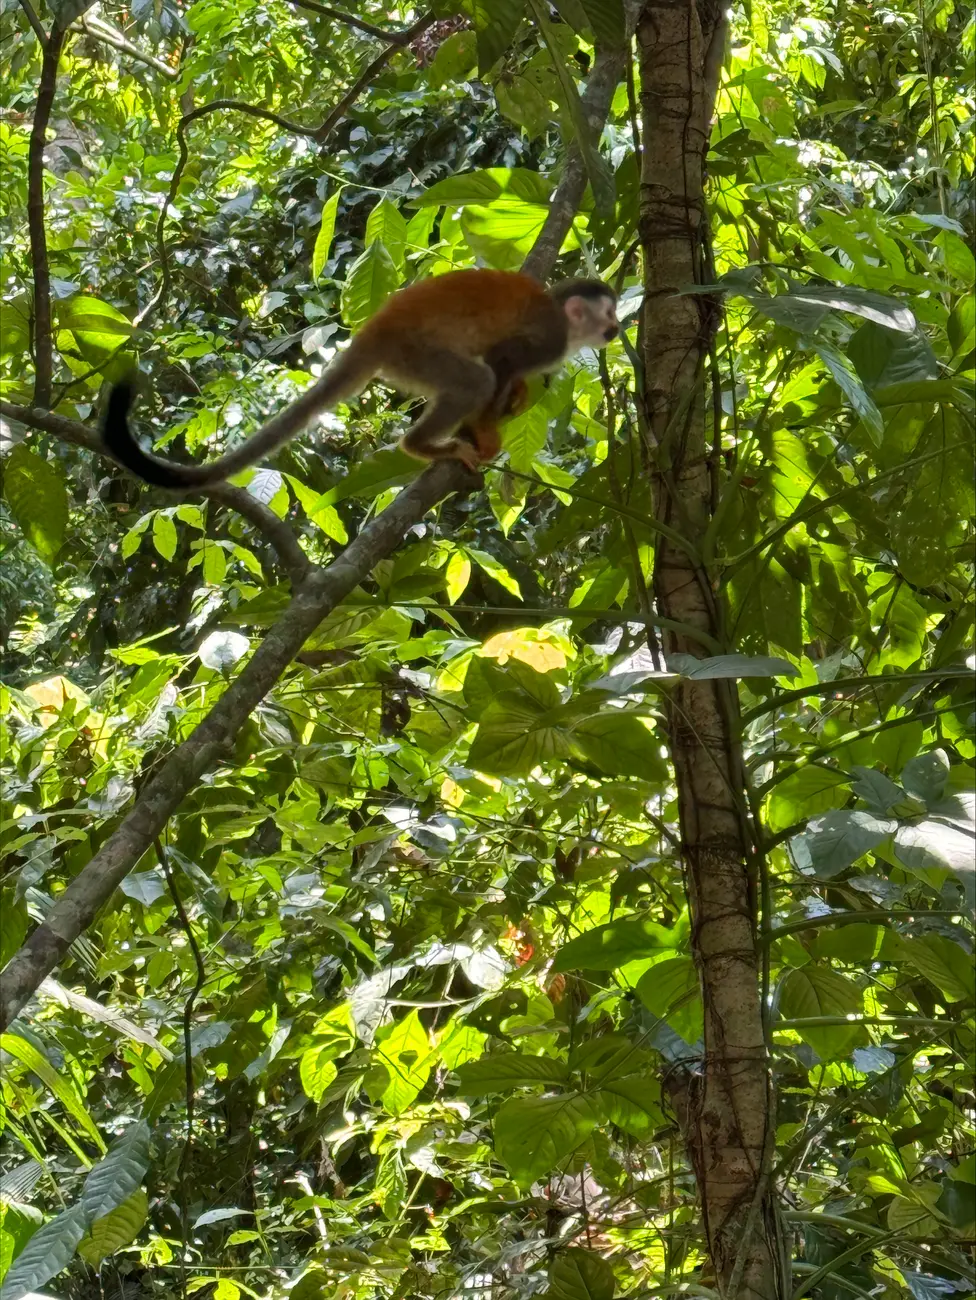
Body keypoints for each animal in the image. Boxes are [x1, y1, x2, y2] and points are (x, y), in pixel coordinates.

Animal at [101, 269, 618, 488]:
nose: (616, 329)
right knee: (474, 377)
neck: (562, 317)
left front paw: (517, 394)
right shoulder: (548, 337)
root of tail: (375, 330)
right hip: (414, 353)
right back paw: (421, 445)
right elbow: (501, 359)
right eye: (609, 315)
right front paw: (485, 427)